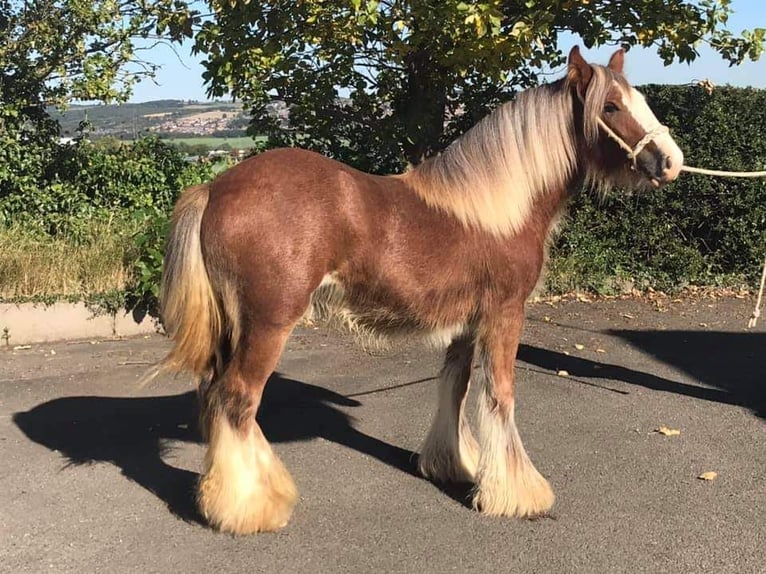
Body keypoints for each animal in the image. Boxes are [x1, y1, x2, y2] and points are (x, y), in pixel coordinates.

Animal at [159, 45, 688, 536]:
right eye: (611, 107)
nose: (670, 162)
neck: (498, 207)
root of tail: (214, 189)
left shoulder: (465, 326)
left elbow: (456, 388)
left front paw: (456, 467)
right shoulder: (504, 314)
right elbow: (501, 395)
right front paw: (519, 494)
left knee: (217, 398)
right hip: (268, 324)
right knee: (238, 398)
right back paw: (252, 508)